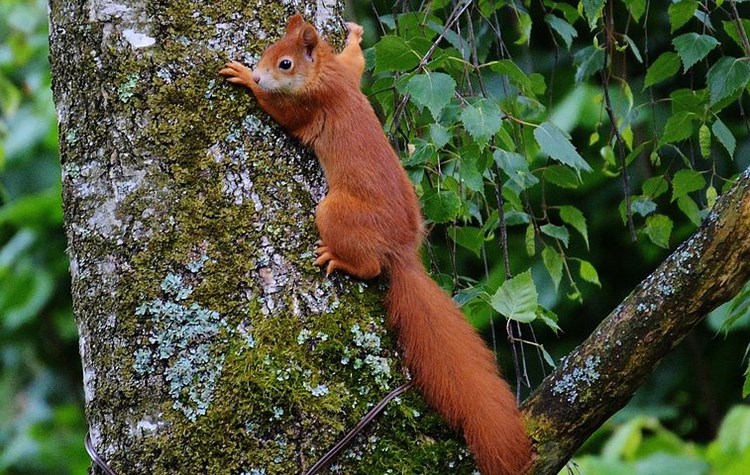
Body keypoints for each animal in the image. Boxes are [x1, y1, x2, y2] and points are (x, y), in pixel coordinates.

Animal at [222, 14, 536, 475]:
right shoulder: (346, 74)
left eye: (284, 64)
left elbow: (279, 111)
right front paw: (354, 36)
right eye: (270, 50)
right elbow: (356, 62)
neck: (323, 73)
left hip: (334, 213)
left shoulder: (307, 106)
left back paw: (339, 260)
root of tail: (402, 252)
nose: (260, 73)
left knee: (370, 268)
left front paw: (245, 78)